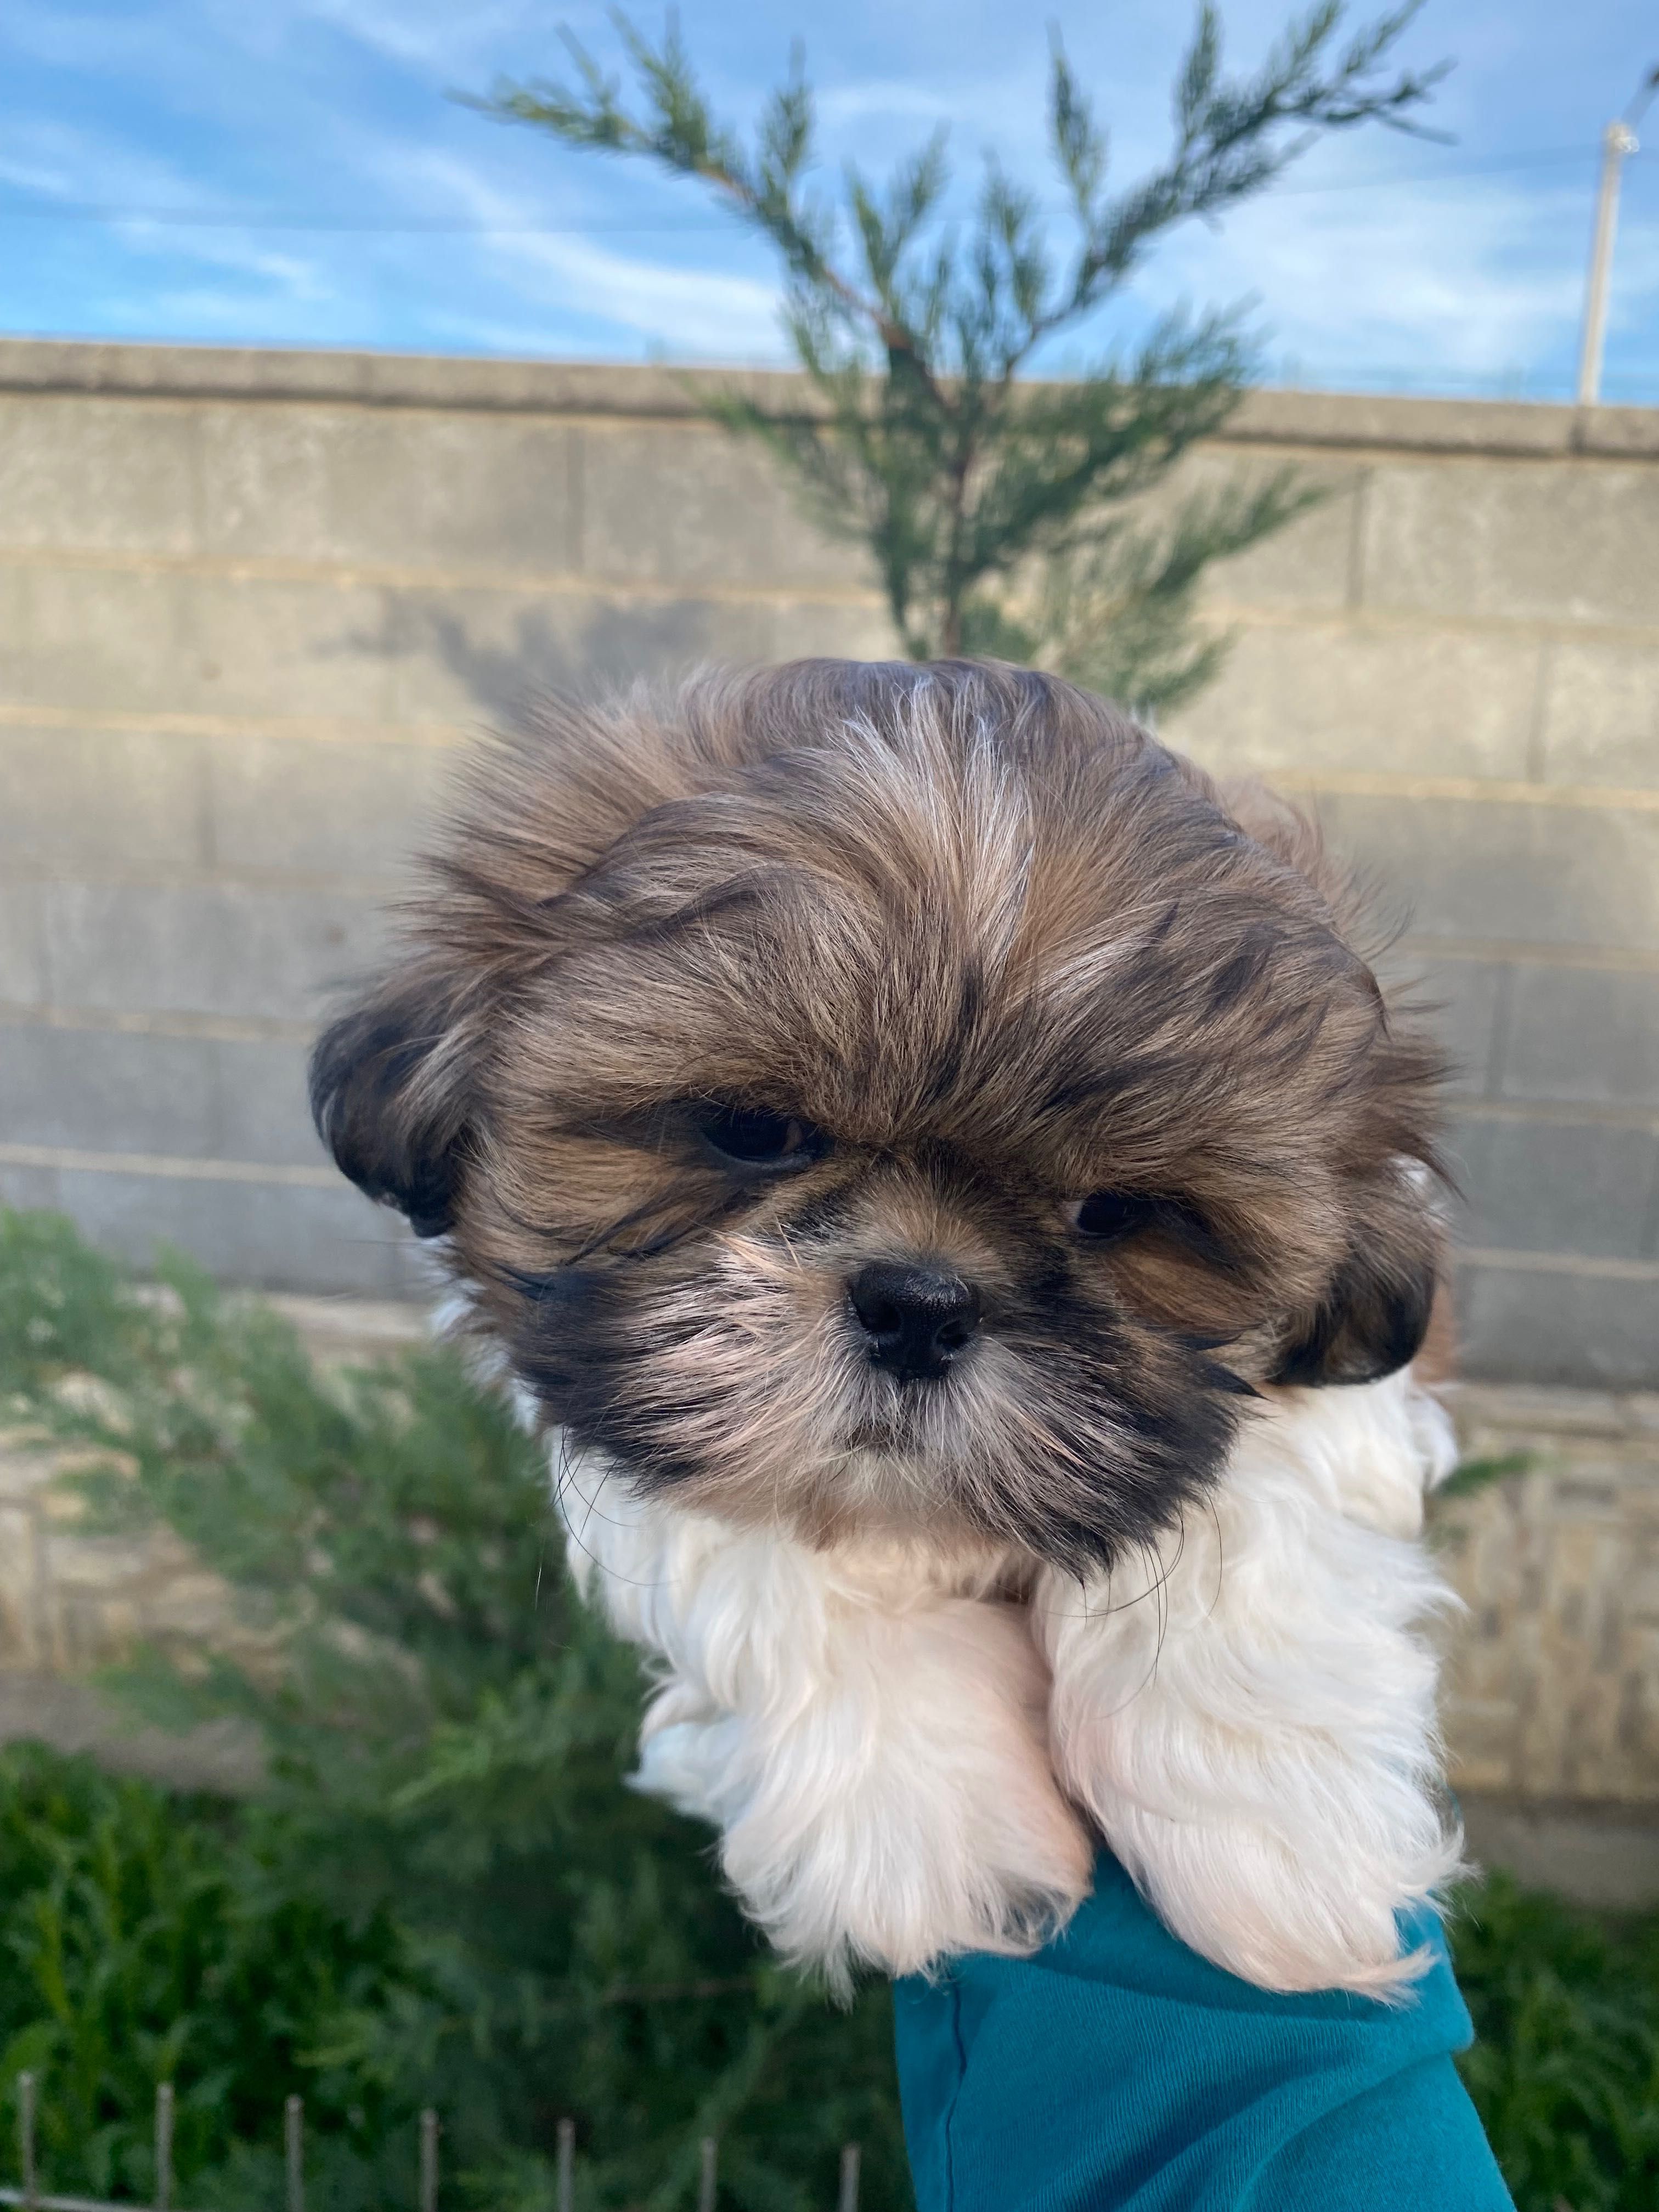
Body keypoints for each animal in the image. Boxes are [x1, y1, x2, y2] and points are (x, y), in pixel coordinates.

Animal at [312, 654, 1469, 2008]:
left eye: (1111, 1212)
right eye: (753, 1130)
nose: (920, 1305)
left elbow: (1241, 1503)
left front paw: (1281, 1831)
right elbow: (768, 1558)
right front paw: (925, 1832)